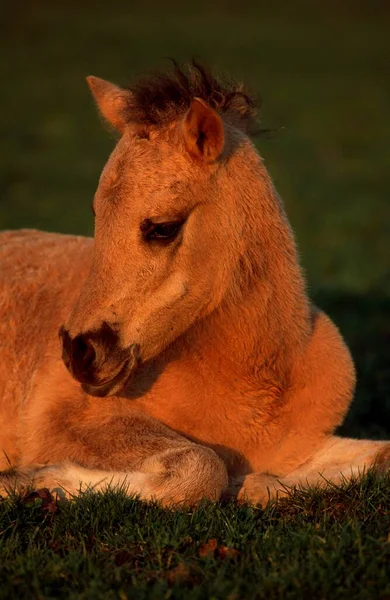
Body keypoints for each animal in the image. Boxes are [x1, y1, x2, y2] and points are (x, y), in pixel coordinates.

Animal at [0, 63, 388, 504]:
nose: (79, 353)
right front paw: (34, 484)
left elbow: (381, 459)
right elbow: (201, 466)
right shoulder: (65, 421)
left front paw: (254, 486)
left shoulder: (301, 444)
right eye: (97, 214)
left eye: (164, 228)